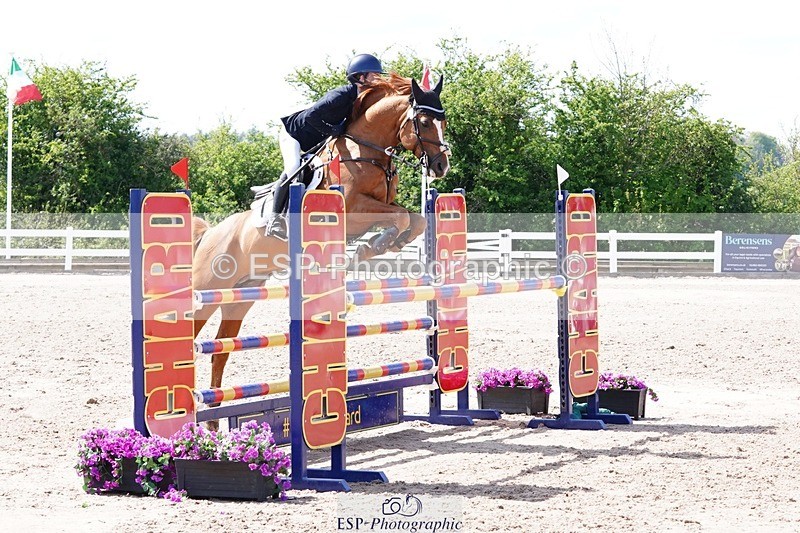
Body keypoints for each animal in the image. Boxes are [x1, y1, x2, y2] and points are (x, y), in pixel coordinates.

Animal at [192, 73, 450, 428]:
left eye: (443, 121)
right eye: (424, 122)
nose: (441, 166)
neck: (366, 151)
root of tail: (210, 233)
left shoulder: (381, 206)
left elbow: (414, 219)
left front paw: (380, 245)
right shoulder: (353, 210)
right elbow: (399, 217)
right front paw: (371, 247)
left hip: (239, 298)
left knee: (219, 351)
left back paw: (213, 421)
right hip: (208, 290)